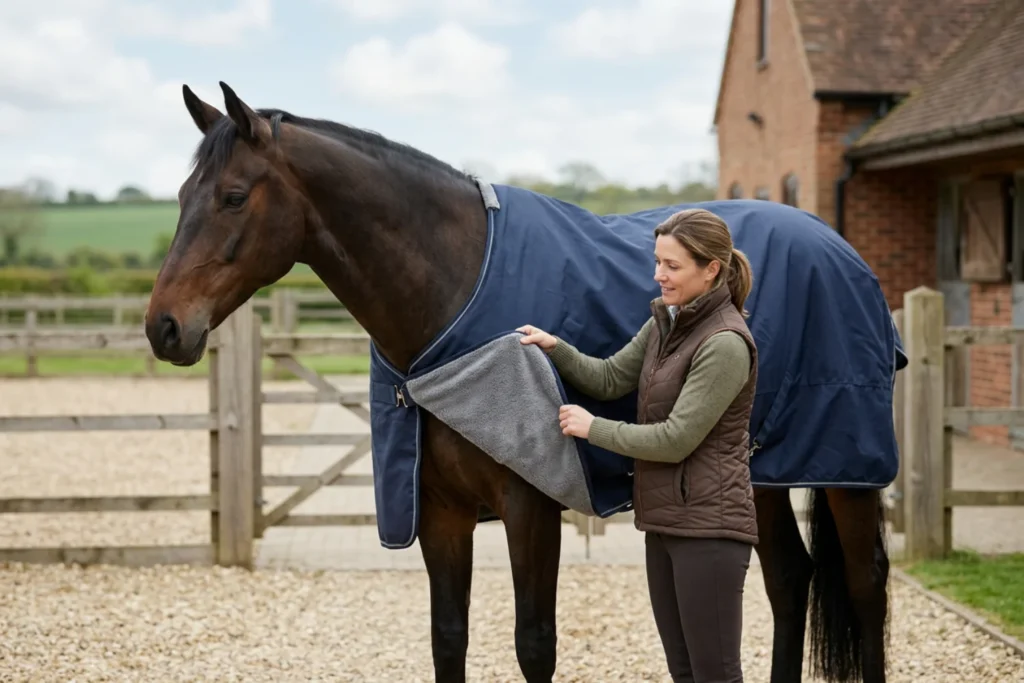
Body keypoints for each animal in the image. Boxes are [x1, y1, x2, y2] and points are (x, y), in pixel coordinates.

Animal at [144, 81, 897, 683]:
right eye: (179, 197)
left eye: (233, 196)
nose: (164, 327)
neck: (454, 302)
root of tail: (840, 248)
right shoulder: (440, 511)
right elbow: (448, 637)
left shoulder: (532, 506)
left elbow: (534, 644)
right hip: (759, 471)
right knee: (788, 579)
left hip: (844, 471)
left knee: (866, 585)